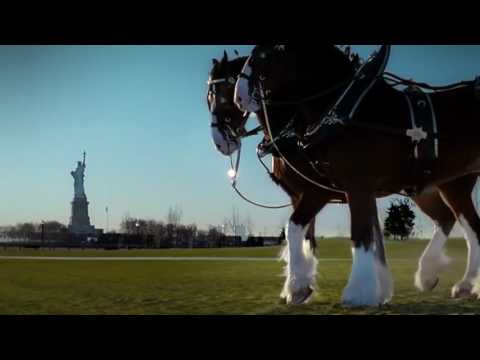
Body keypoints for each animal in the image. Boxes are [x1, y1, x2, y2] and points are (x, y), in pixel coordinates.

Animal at [208, 49, 478, 306]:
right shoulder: (306, 193)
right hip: (431, 187)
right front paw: (304, 285)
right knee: (450, 219)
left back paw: (454, 281)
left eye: (222, 93)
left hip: (453, 186)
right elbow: (312, 235)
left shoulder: (324, 190)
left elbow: (306, 229)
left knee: (468, 225)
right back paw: (440, 277)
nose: (220, 142)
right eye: (209, 96)